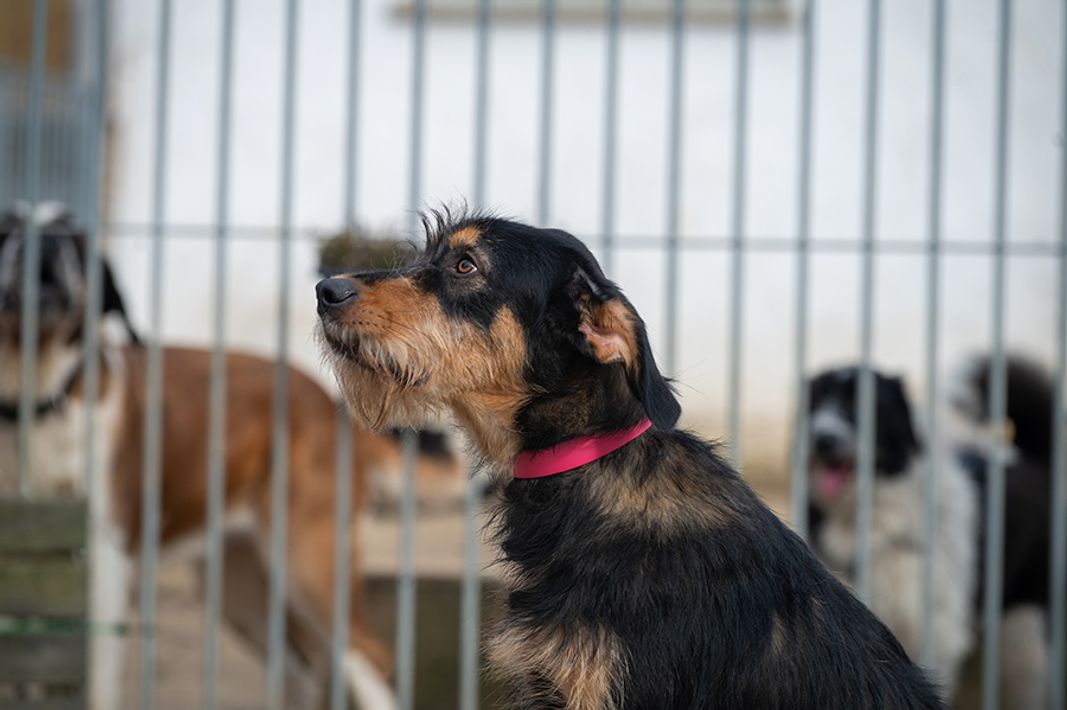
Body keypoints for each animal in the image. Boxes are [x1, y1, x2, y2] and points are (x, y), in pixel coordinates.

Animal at [0, 203, 463, 709]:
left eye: (70, 239)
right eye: (9, 228)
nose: (45, 246)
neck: (29, 404)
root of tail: (329, 405)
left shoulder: (105, 561)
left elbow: (94, 673)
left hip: (308, 563)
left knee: (365, 658)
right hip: (239, 581)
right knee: (297, 666)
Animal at [805, 360, 1057, 708]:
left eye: (859, 405)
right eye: (816, 404)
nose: (821, 438)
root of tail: (1033, 459)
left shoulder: (936, 632)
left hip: (1026, 632)